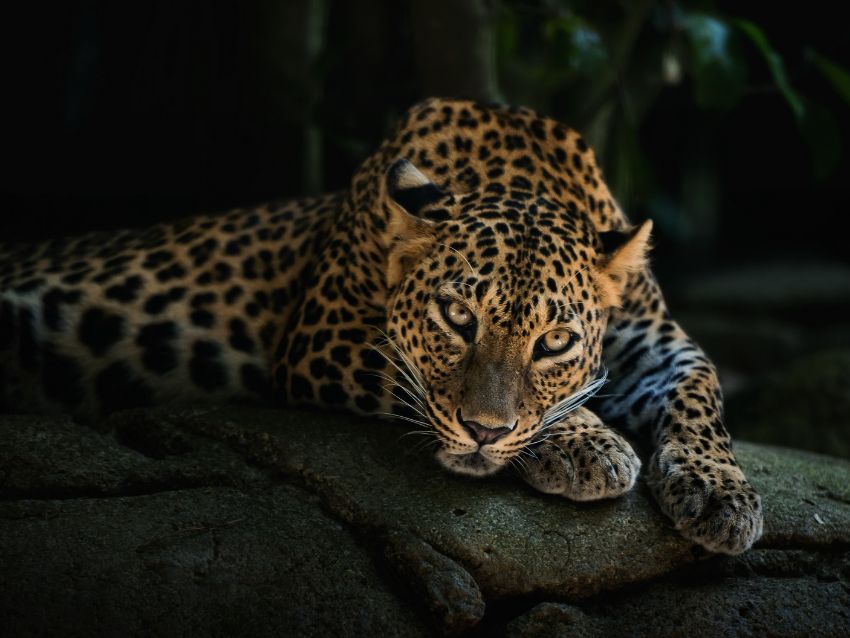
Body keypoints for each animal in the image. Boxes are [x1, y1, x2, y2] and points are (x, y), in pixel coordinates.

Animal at [0, 99, 764, 556]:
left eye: (554, 343)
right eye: (456, 317)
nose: (485, 433)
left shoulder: (657, 341)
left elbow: (702, 389)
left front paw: (722, 493)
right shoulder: (321, 336)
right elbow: (422, 383)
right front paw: (587, 444)